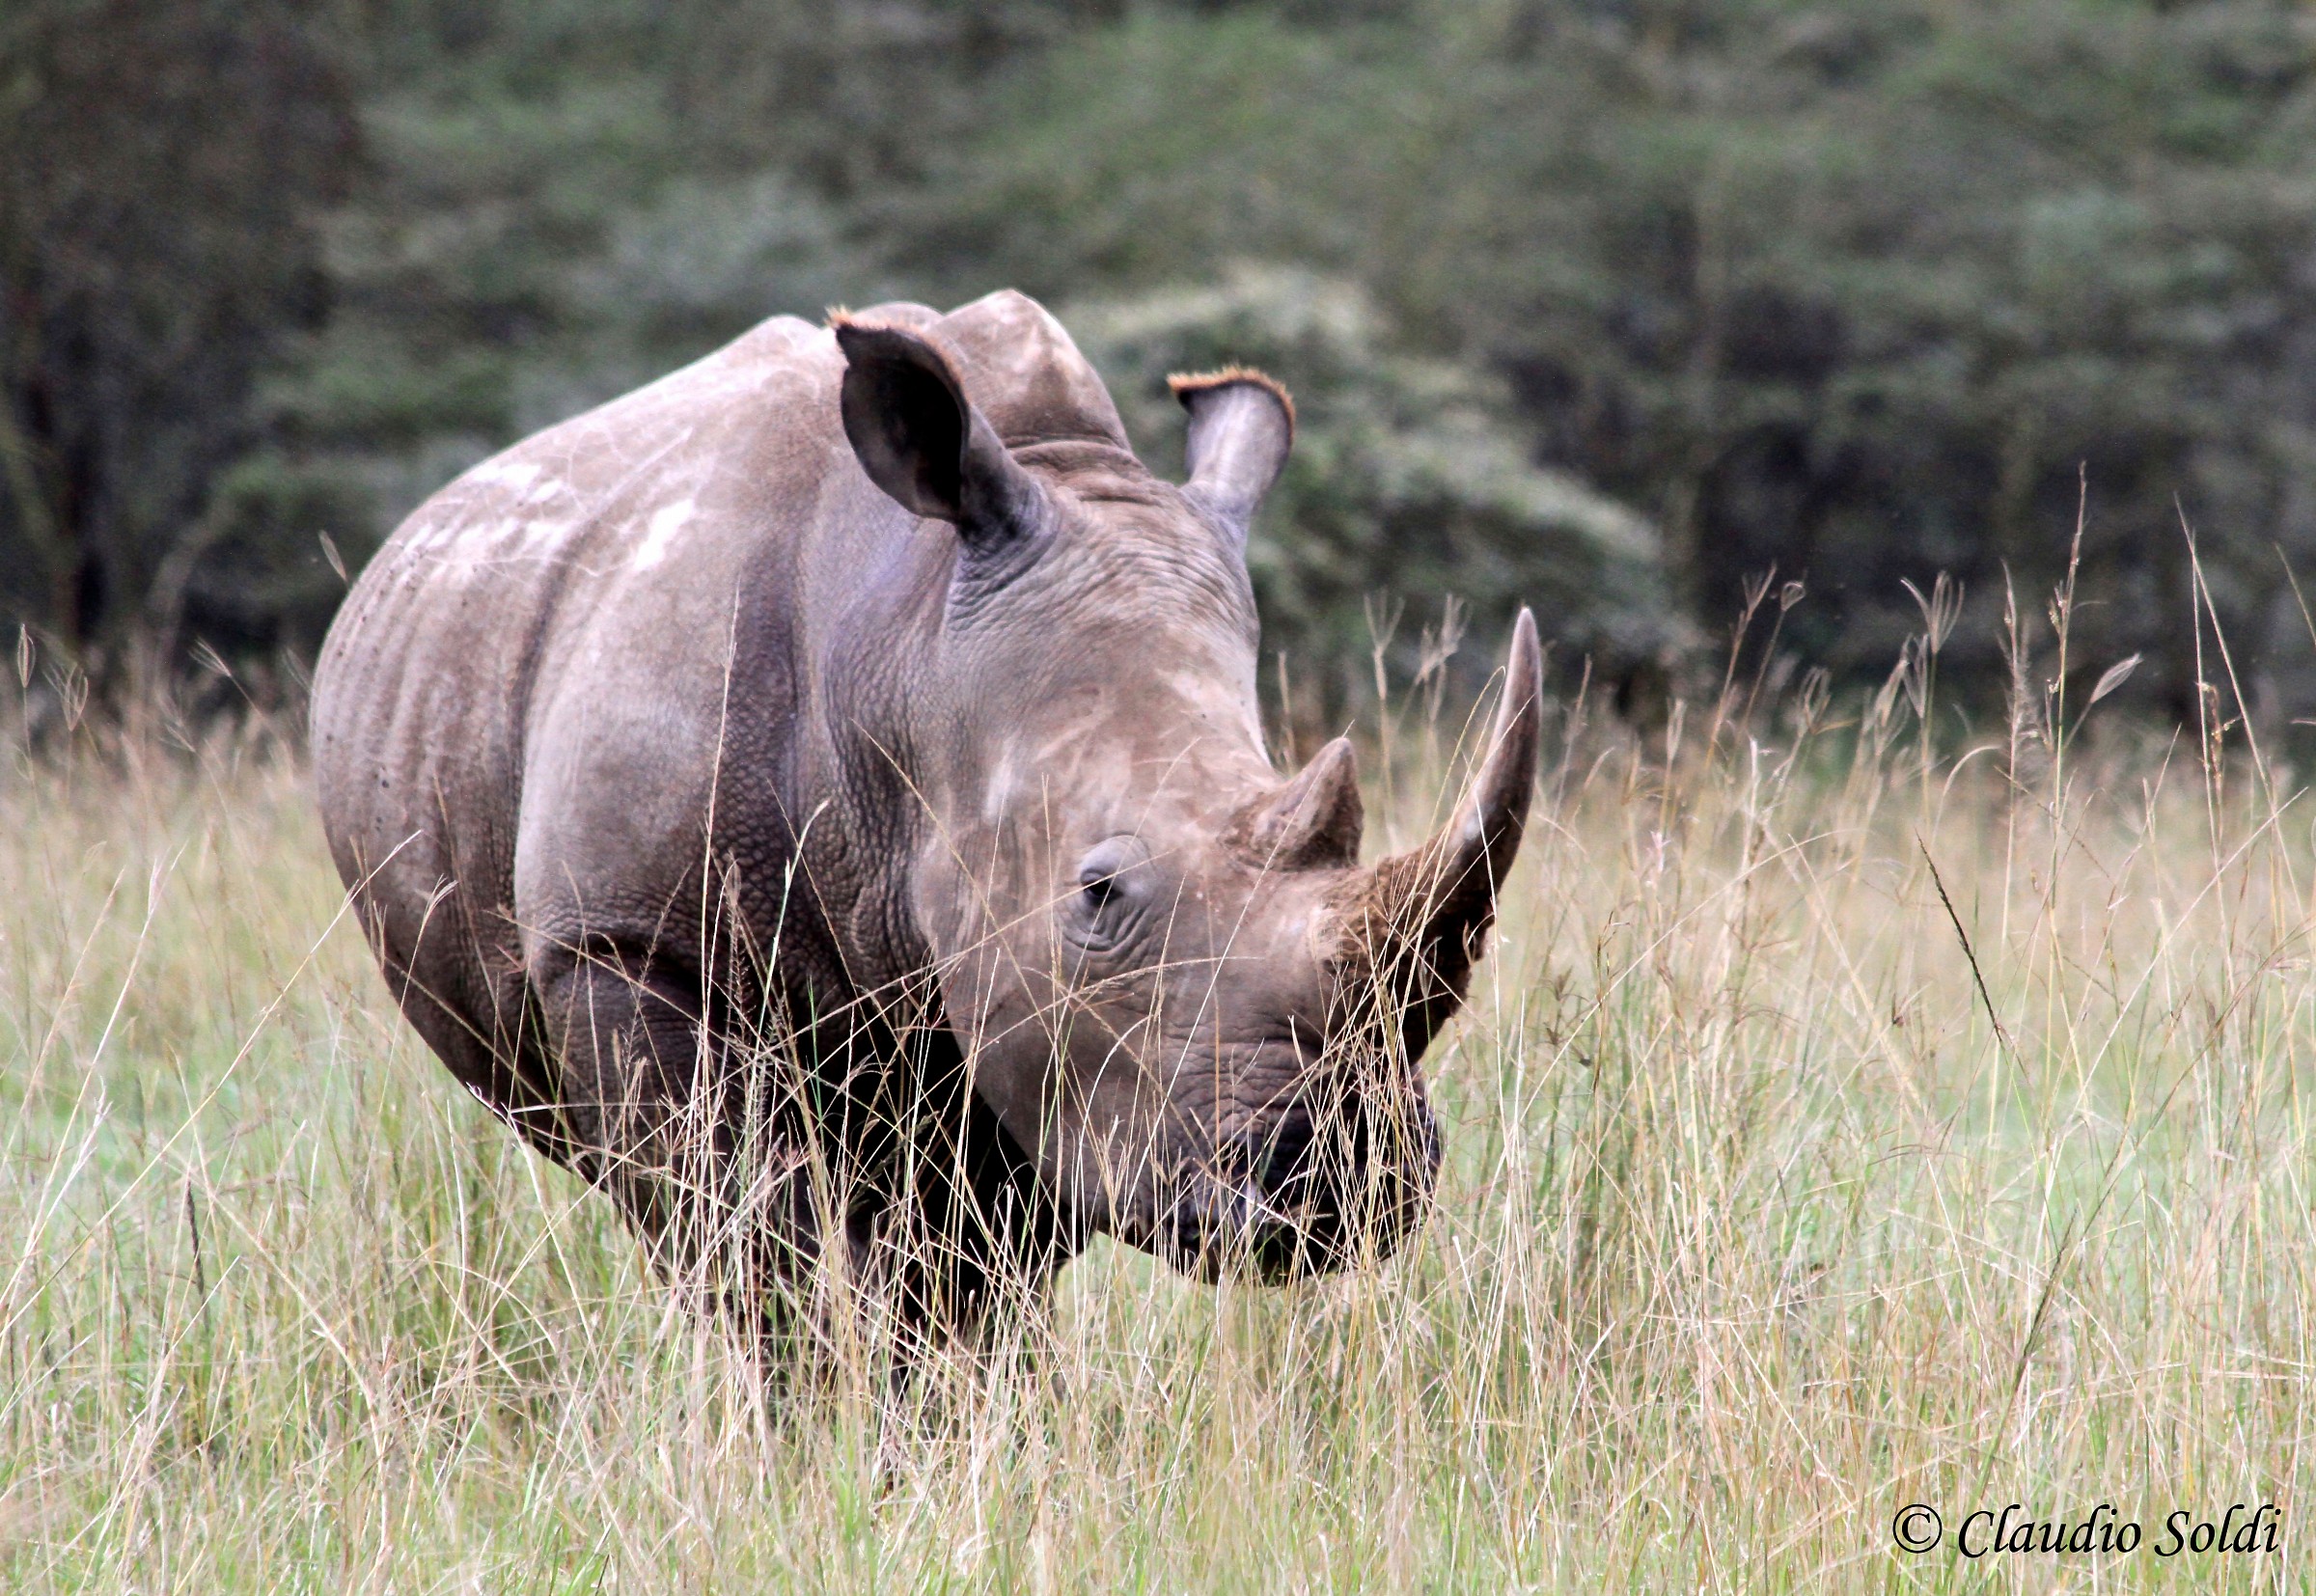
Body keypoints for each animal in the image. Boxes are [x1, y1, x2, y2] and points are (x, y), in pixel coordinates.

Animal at [311, 290, 1540, 1351]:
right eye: (1098, 892)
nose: (1342, 1183)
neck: (901, 646)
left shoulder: (1035, 1034)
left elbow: (964, 1282)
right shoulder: (616, 942)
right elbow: (745, 1247)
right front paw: (796, 1437)